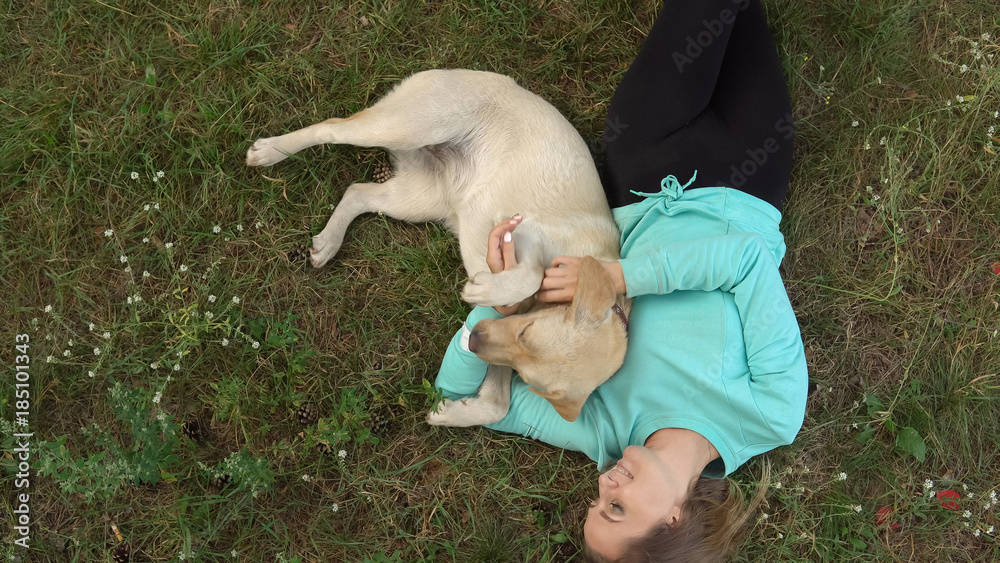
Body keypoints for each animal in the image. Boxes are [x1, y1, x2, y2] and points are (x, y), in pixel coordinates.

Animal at [245, 69, 628, 424]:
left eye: (525, 373)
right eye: (525, 332)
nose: (473, 341)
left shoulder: (498, 342)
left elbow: (497, 406)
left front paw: (450, 413)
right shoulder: (518, 230)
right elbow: (531, 274)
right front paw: (485, 289)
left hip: (417, 200)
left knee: (357, 193)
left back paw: (328, 241)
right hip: (402, 128)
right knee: (330, 128)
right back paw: (269, 151)